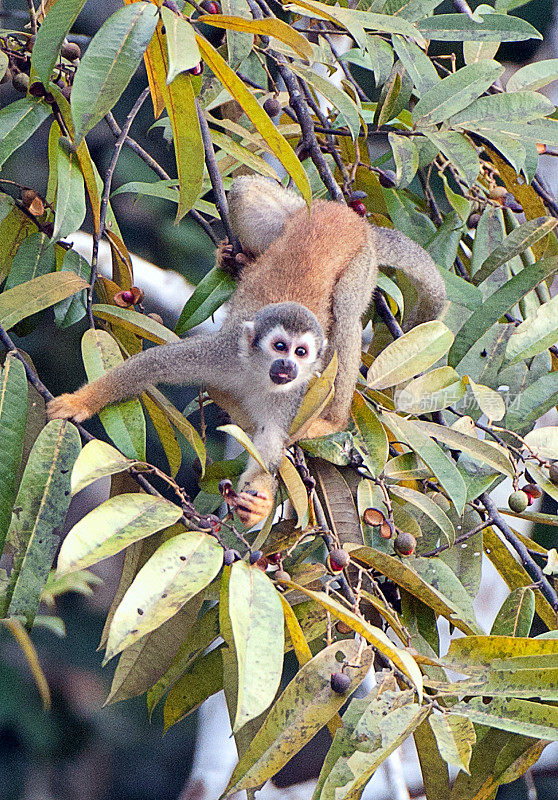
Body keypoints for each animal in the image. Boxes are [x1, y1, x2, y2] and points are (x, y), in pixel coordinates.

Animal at [50, 179, 448, 532]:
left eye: (301, 352)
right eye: (280, 346)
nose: (288, 366)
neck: (256, 373)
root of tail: (352, 219)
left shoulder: (292, 398)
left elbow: (270, 445)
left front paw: (258, 504)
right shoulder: (219, 354)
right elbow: (150, 366)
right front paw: (80, 402)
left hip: (361, 266)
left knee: (347, 313)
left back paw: (332, 421)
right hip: (296, 211)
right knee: (244, 193)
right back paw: (236, 258)